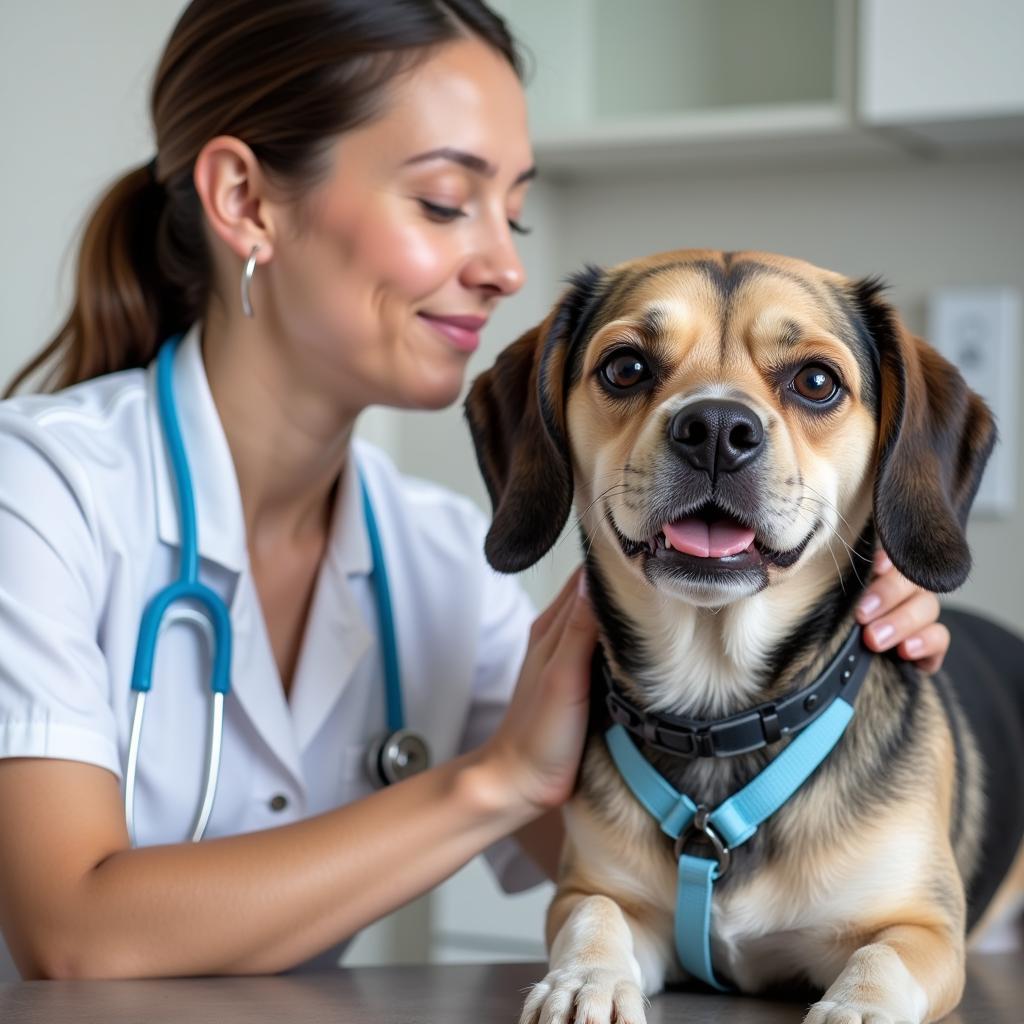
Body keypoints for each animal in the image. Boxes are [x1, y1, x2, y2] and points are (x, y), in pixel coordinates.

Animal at [466, 249, 1024, 1024]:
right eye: (625, 367)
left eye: (816, 382)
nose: (715, 429)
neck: (717, 713)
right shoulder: (596, 892)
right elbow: (592, 918)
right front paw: (584, 981)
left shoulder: (924, 926)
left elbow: (881, 961)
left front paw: (858, 1009)